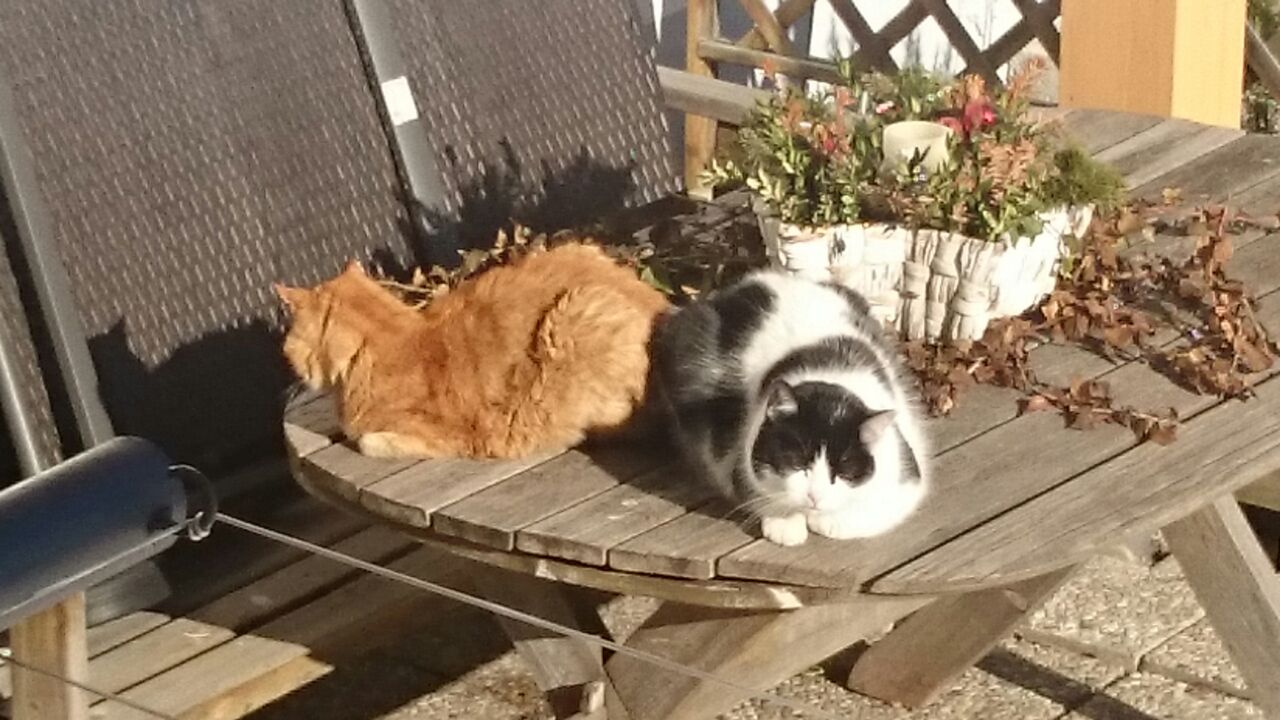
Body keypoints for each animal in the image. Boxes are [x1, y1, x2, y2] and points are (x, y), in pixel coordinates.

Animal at [652, 271, 928, 546]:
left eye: (843, 470)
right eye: (797, 461)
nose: (815, 497)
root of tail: (754, 280)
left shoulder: (907, 479)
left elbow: (862, 516)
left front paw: (824, 520)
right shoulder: (734, 450)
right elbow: (751, 488)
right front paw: (786, 523)